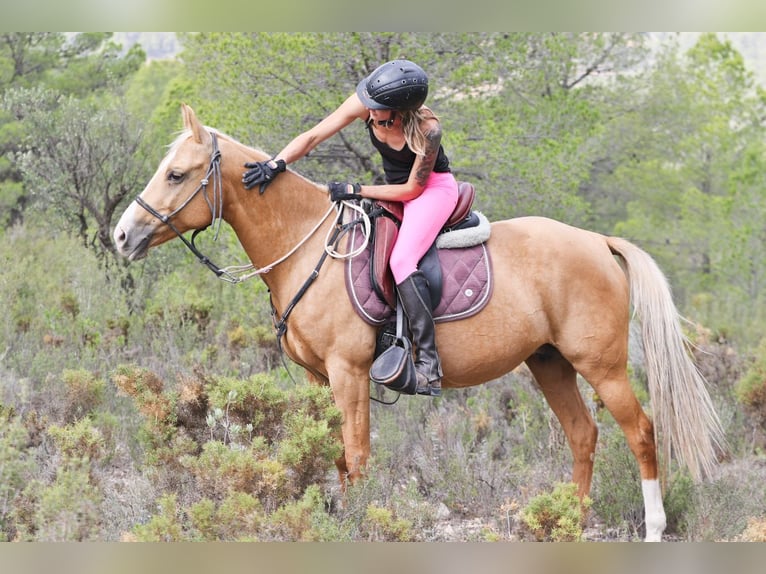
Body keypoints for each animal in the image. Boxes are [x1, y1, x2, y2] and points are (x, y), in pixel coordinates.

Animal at [114, 106, 728, 544]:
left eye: (176, 174)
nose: (123, 236)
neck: (308, 246)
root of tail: (598, 241)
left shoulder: (348, 372)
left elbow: (357, 454)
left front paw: (362, 524)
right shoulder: (319, 377)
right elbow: (335, 454)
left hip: (600, 365)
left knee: (641, 431)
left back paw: (653, 529)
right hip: (549, 362)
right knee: (584, 434)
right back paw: (571, 525)